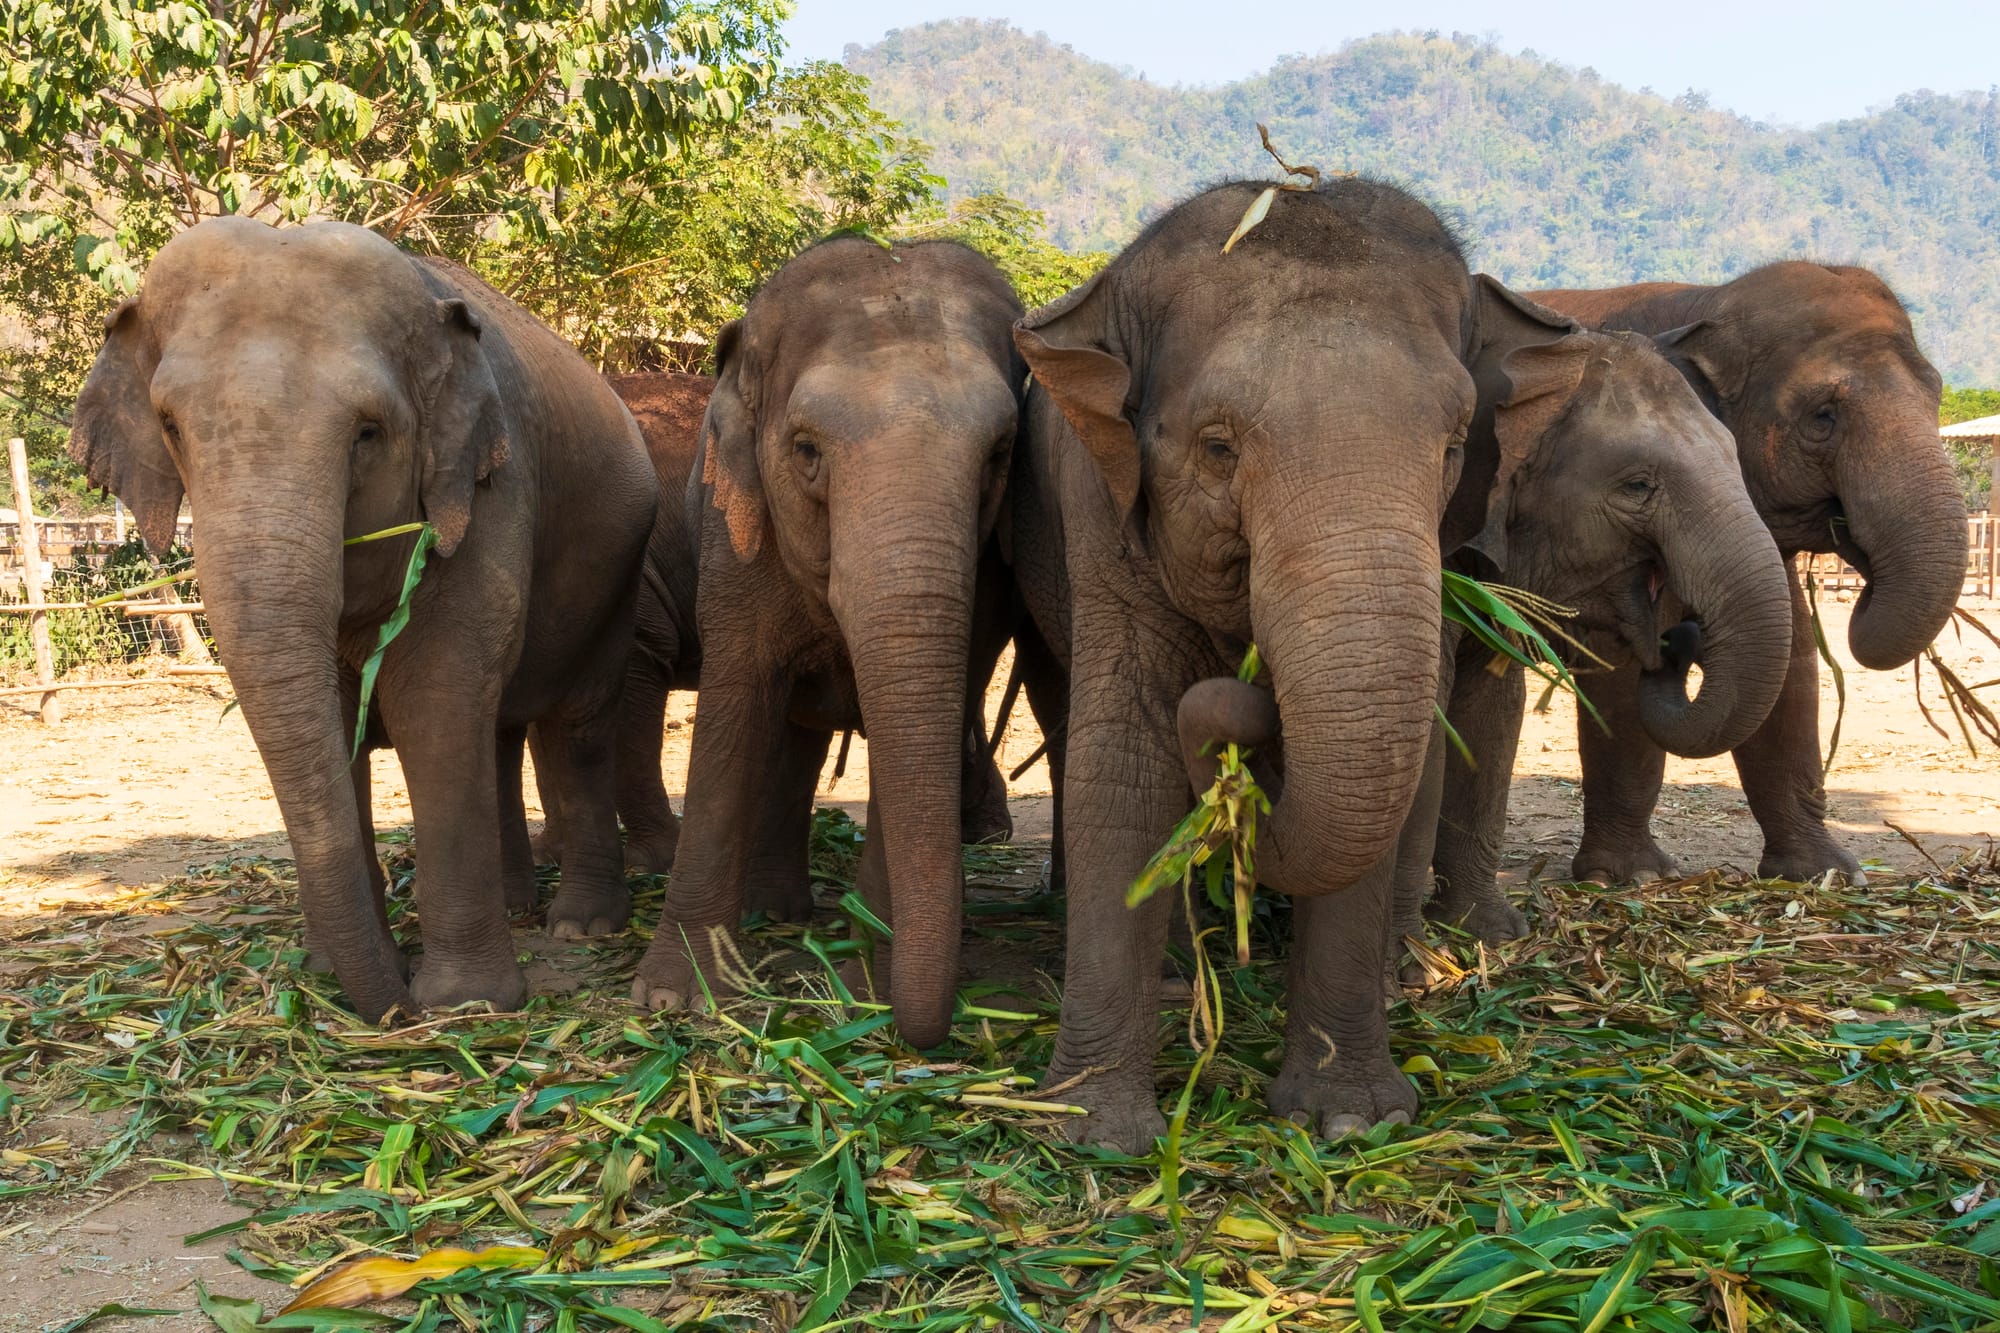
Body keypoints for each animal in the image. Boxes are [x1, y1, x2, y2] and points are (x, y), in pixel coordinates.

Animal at [69, 217, 657, 1021]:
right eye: (169, 426)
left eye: (368, 434)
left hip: (618, 569)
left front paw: (462, 1006)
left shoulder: (489, 490)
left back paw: (580, 927)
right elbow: (337, 714)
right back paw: (516, 909)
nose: (395, 1002)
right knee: (499, 731)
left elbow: (436, 702)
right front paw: (334, 969)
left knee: (576, 725)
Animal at [628, 237, 1027, 1049]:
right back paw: (772, 912)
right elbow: (734, 709)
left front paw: (868, 985)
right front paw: (673, 999)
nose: (920, 1033)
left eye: (1001, 454)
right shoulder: (734, 539)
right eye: (807, 450)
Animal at [1007, 178, 1486, 1149]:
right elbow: (1125, 764)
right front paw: (1092, 1130)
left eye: (1456, 443)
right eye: (1218, 447)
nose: (1244, 692)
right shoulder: (1100, 516)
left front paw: (1351, 1121)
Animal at [1426, 263, 1966, 932]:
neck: (1709, 301)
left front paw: (1831, 876)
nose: (1681, 639)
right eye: (1823, 416)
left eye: (1937, 394)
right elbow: (1619, 671)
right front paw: (1633, 878)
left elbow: (1791, 665)